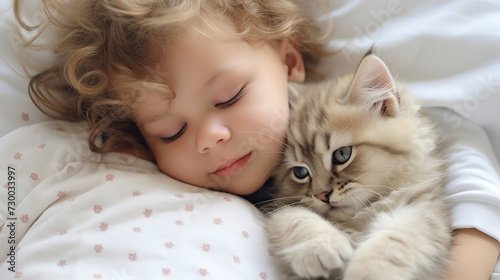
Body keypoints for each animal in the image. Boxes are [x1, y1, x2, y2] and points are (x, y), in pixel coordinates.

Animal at [266, 53, 454, 280]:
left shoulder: (423, 211)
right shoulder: (279, 207)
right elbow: (294, 216)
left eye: (342, 155)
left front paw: (366, 272)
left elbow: (392, 243)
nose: (322, 196)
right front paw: (323, 248)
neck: (358, 216)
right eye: (301, 172)